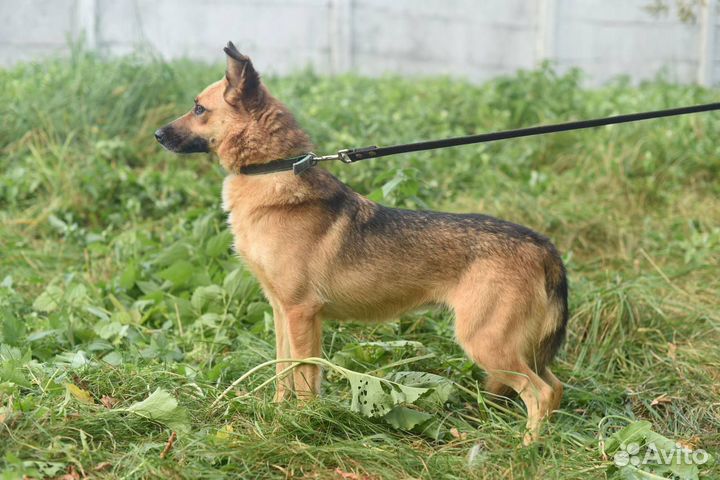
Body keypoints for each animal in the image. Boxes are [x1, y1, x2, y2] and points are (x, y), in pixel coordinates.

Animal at [156, 41, 568, 442]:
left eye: (199, 108)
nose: (157, 135)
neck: (272, 170)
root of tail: (542, 247)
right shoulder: (282, 311)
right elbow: (283, 372)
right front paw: (278, 415)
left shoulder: (301, 312)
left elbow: (303, 379)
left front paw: (301, 426)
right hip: (519, 347)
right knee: (556, 388)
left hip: (487, 343)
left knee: (541, 393)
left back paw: (526, 448)